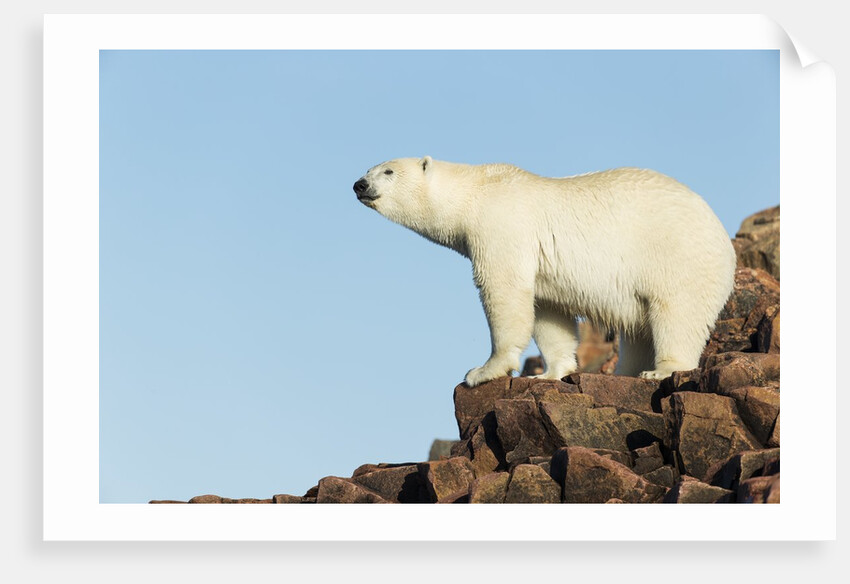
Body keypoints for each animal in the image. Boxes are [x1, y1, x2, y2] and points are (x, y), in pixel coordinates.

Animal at [353, 156, 736, 387]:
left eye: (387, 171)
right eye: (370, 169)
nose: (359, 185)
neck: (475, 192)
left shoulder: (501, 227)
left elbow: (503, 291)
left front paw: (482, 371)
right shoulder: (541, 269)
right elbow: (548, 313)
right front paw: (550, 374)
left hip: (676, 255)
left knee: (677, 313)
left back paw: (661, 369)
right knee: (639, 329)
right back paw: (625, 371)